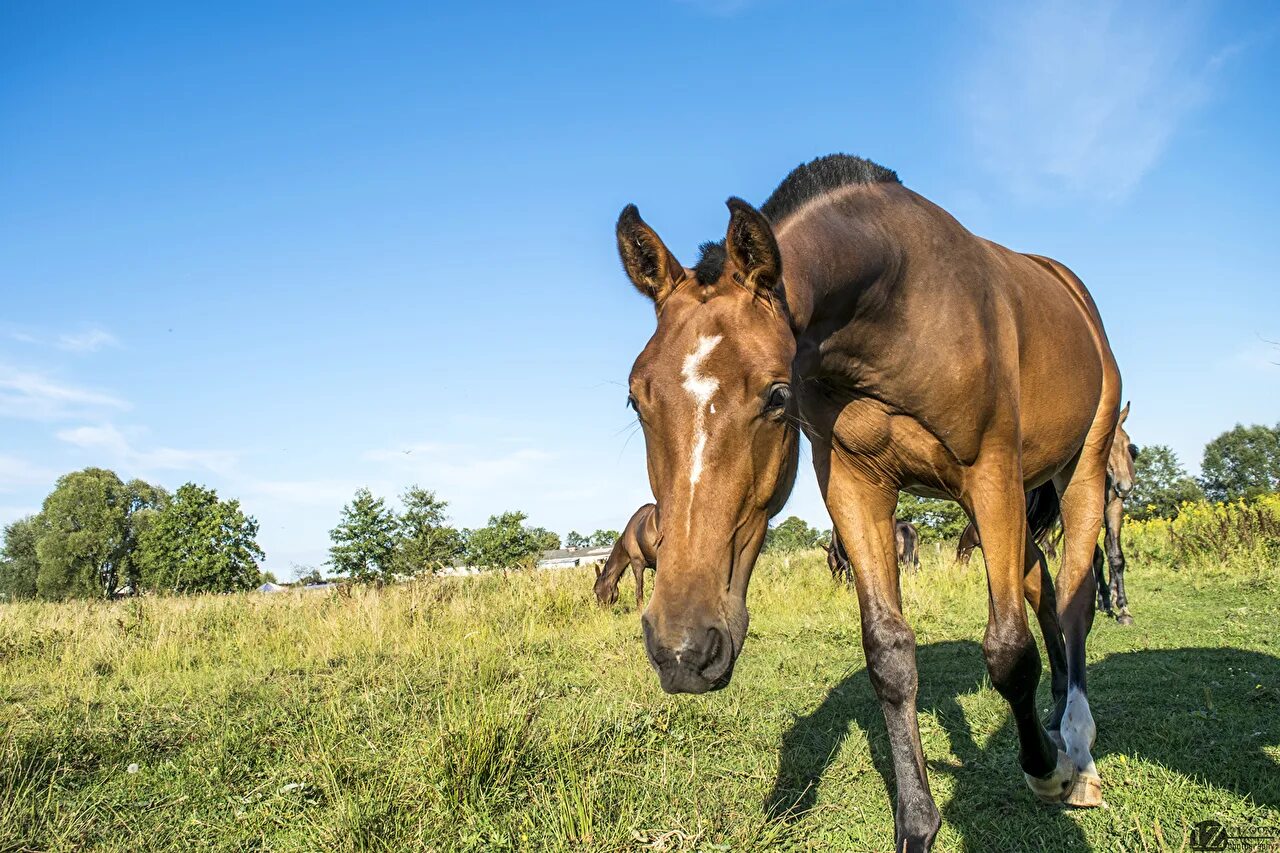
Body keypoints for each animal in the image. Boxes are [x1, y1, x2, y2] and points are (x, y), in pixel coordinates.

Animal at [614, 154, 1116, 850]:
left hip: (1079, 470)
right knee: (1043, 587)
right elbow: (889, 655)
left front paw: (1045, 771)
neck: (896, 307)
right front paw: (917, 824)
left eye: (777, 397)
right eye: (636, 399)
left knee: (1073, 602)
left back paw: (1077, 752)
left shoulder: (990, 471)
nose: (682, 650)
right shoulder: (855, 485)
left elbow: (1008, 650)